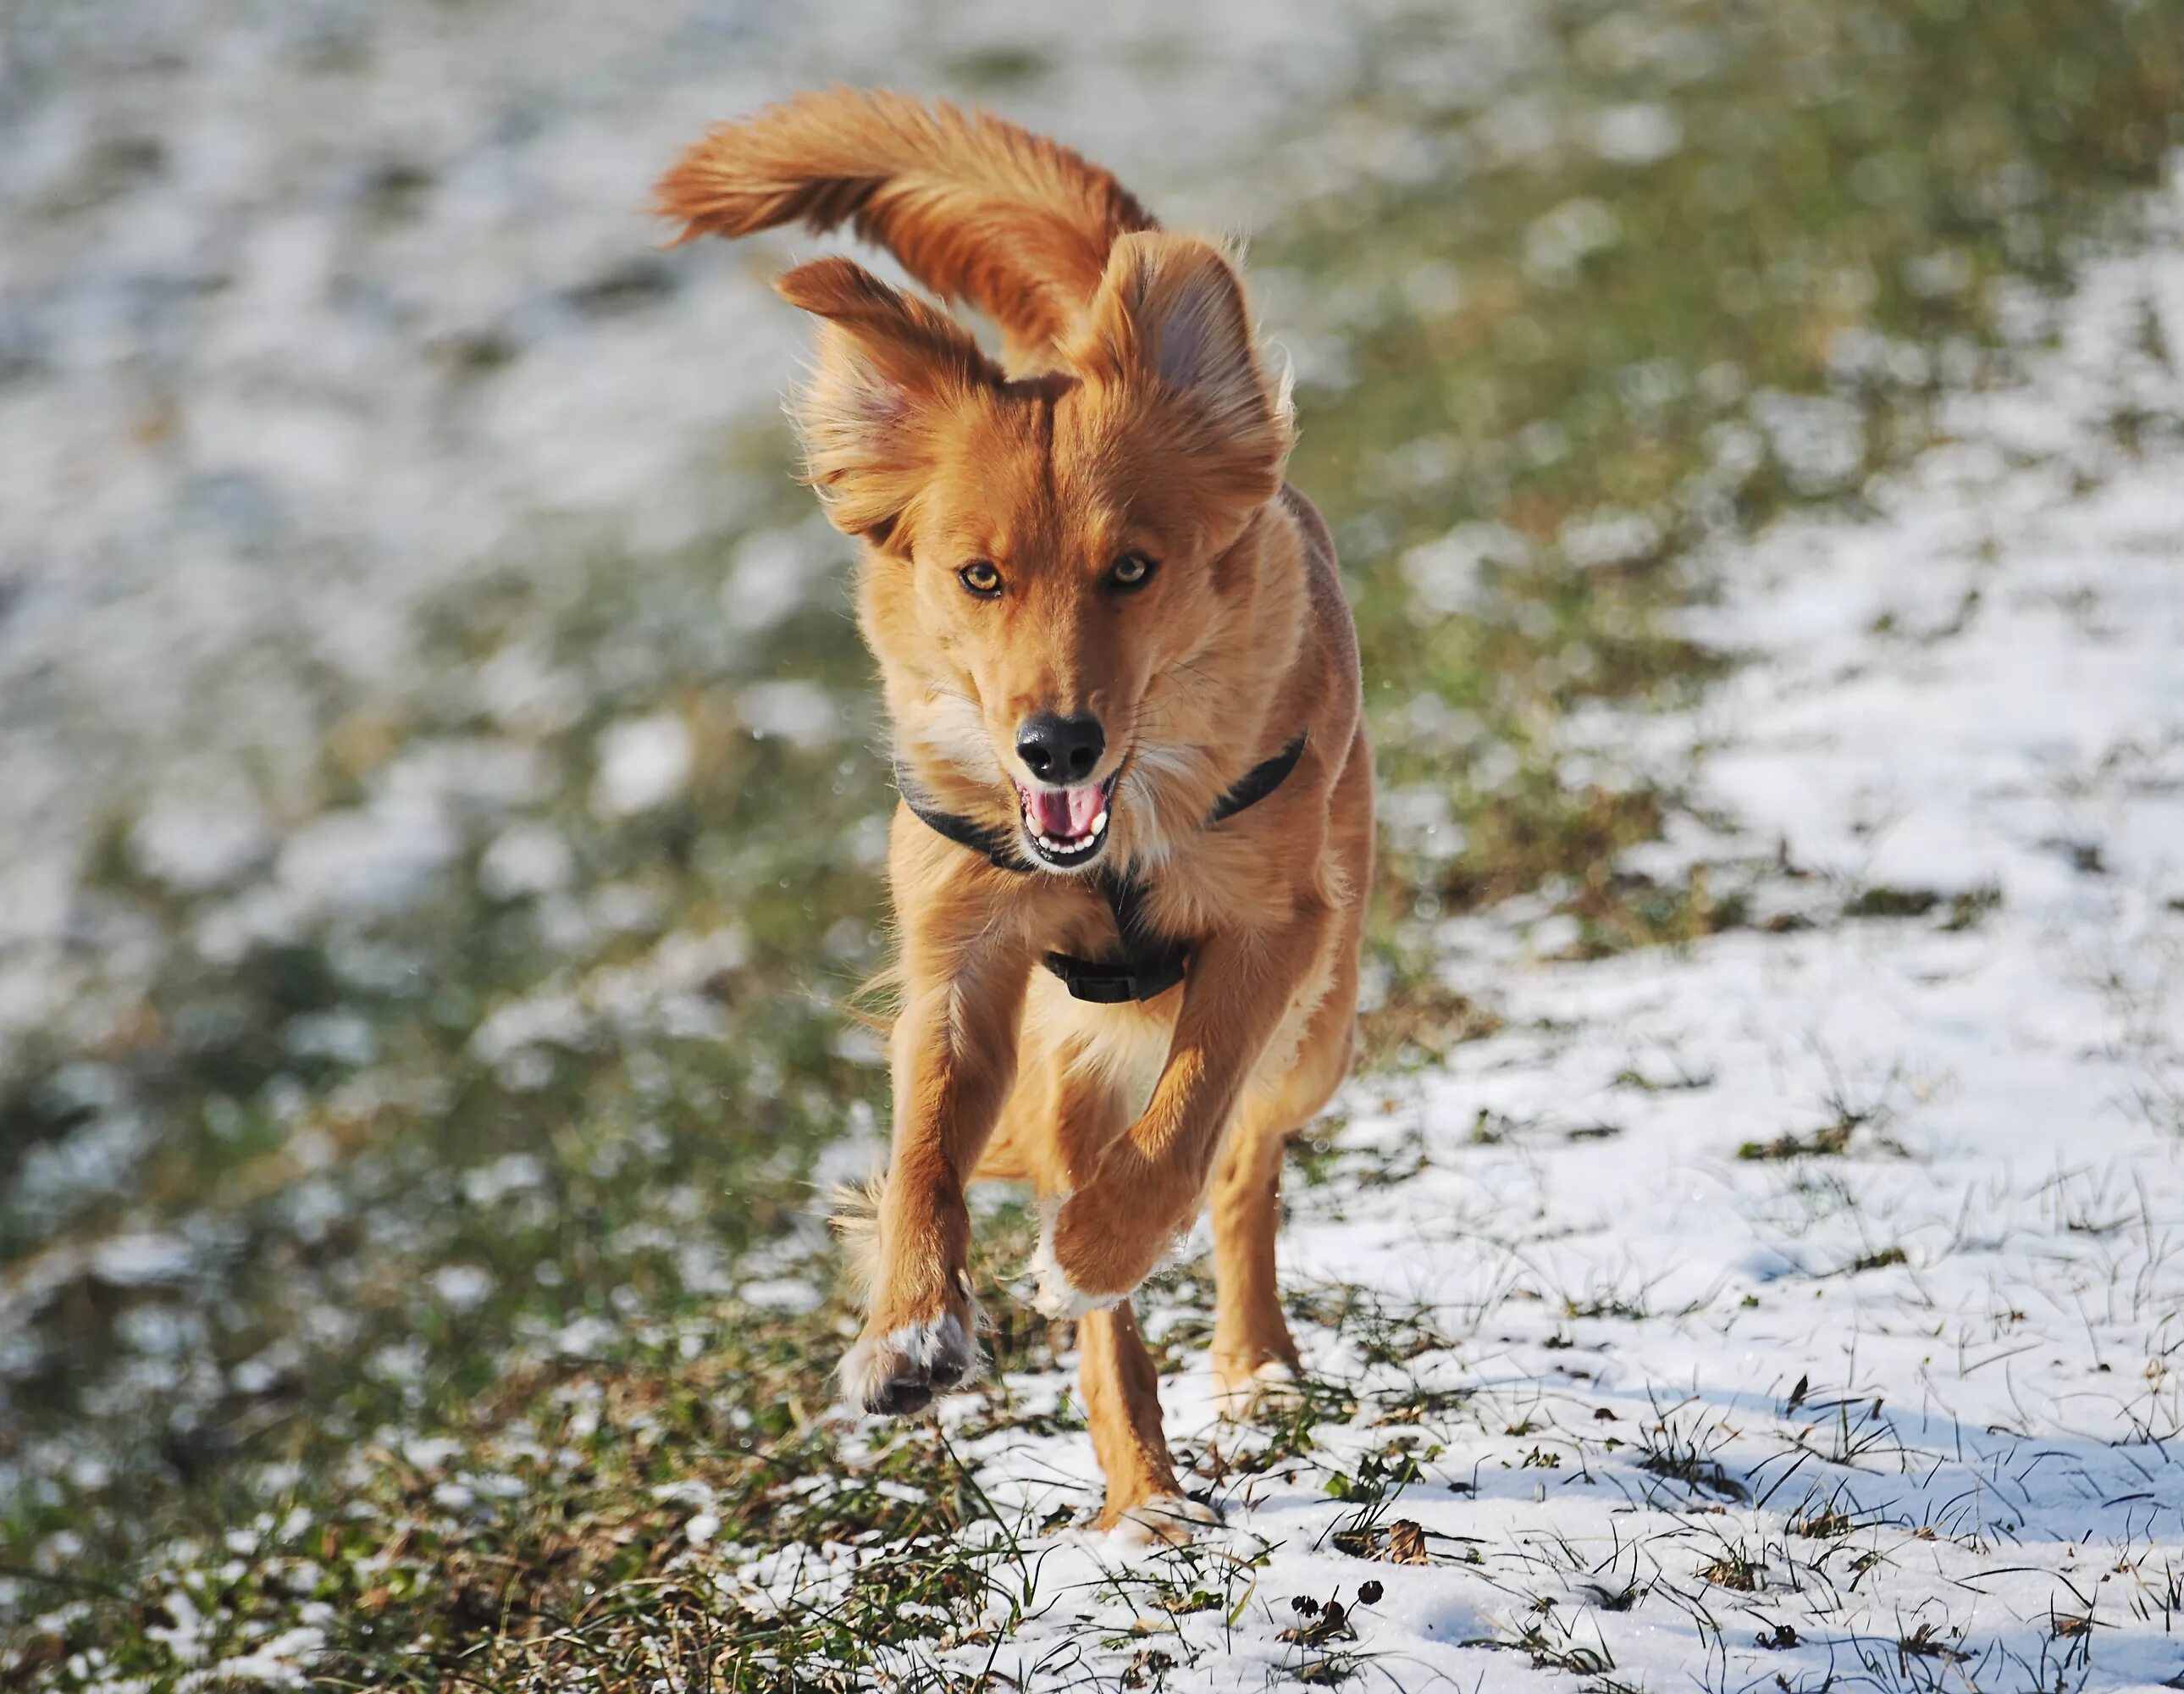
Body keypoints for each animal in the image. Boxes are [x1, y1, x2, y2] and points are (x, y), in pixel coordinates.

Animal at [650, 92, 1363, 1547]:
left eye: (1131, 569)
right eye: (978, 578)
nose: (1054, 744)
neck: (1116, 830)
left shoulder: (1273, 928)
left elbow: (1189, 1117)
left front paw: (1091, 1248)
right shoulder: (963, 959)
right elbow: (923, 1148)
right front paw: (907, 1330)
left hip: (1323, 1023)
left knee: (1244, 1158)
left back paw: (1247, 1359)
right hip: (1069, 1054)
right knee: (1110, 1279)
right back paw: (1142, 1490)